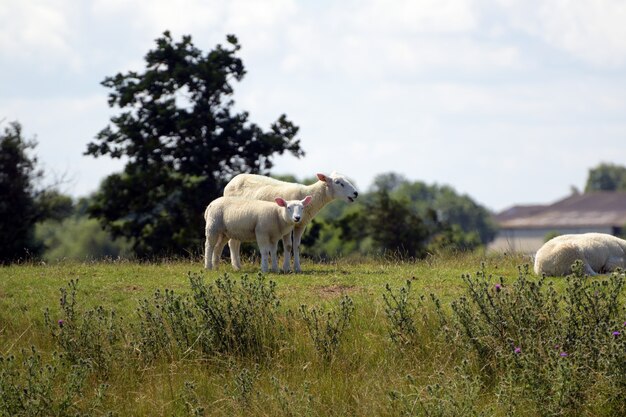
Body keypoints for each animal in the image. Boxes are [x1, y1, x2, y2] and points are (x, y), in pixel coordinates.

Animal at [225, 171, 358, 272]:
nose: (356, 193)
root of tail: (233, 180)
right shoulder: (287, 224)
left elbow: (297, 246)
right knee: (232, 242)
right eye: (338, 183)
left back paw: (238, 265)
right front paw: (286, 268)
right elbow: (288, 246)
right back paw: (236, 266)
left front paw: (297, 268)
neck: (310, 196)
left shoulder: (301, 225)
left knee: (235, 241)